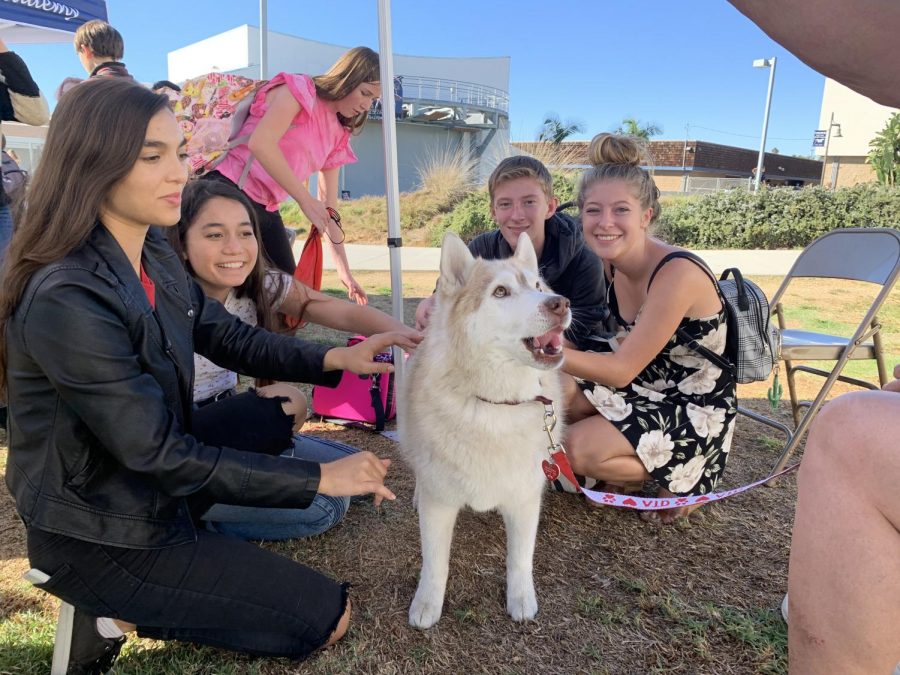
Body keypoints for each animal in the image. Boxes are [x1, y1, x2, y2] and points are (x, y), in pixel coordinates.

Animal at [400, 231, 568, 628]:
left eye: (538, 286)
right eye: (501, 292)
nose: (560, 304)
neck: (495, 406)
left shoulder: (524, 498)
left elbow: (520, 558)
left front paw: (521, 598)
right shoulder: (439, 504)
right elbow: (435, 563)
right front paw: (427, 602)